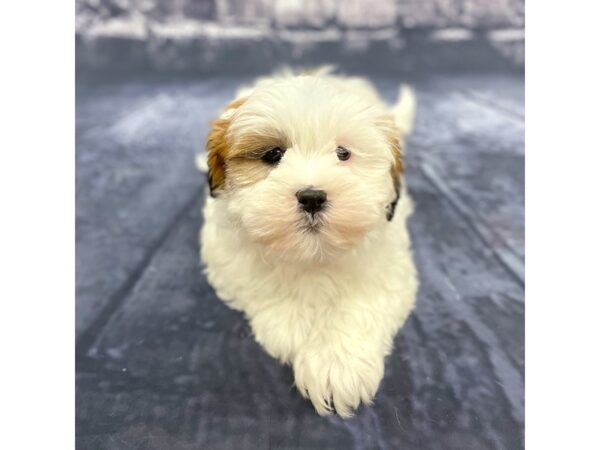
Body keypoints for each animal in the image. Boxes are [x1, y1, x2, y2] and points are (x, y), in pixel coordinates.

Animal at [200, 68, 418, 416]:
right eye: (273, 154)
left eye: (343, 153)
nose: (312, 197)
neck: (311, 254)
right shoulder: (224, 255)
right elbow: (260, 282)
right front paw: (292, 324)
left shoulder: (387, 266)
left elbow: (360, 303)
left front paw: (335, 364)